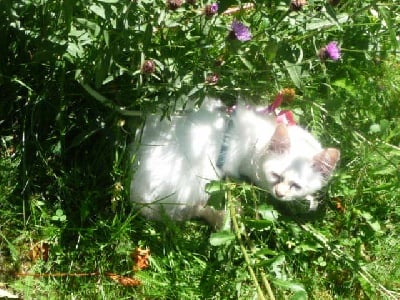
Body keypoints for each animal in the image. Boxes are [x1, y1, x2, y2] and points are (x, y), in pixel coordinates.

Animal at [130, 98, 340, 227]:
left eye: (296, 185)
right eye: (275, 175)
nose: (280, 194)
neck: (262, 137)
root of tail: (139, 198)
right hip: (200, 180)